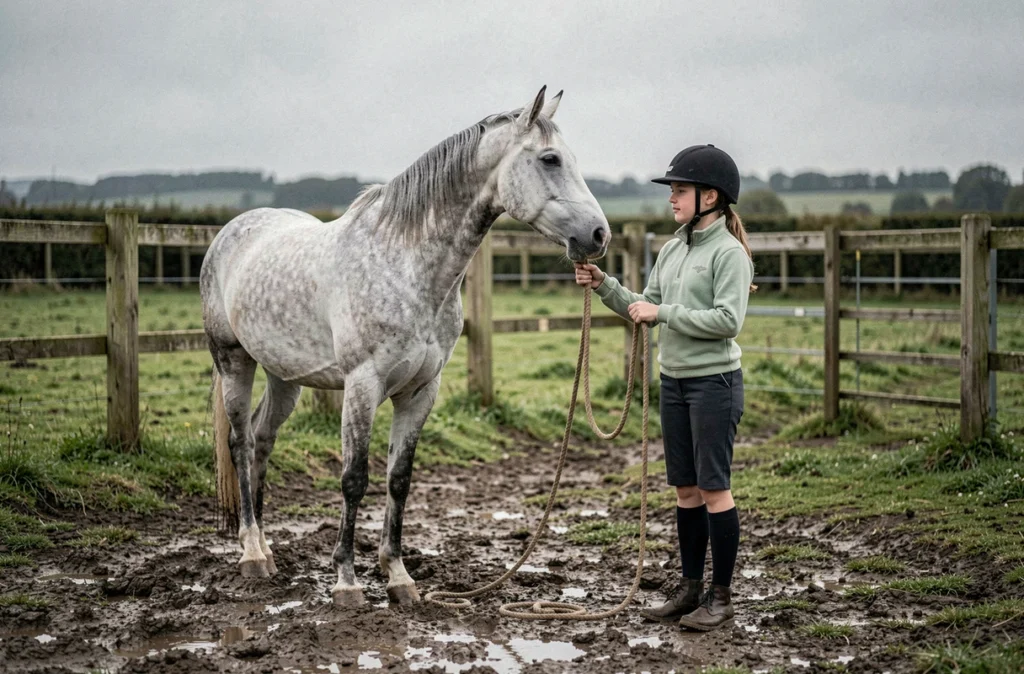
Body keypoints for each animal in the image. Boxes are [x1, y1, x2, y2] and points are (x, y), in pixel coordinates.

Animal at [201, 86, 610, 607]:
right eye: (550, 159)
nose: (598, 236)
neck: (405, 263)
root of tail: (231, 231)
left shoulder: (420, 390)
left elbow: (399, 479)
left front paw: (397, 577)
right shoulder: (362, 386)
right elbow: (355, 479)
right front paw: (347, 581)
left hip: (283, 377)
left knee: (261, 439)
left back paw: (269, 548)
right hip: (233, 360)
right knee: (240, 442)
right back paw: (252, 553)